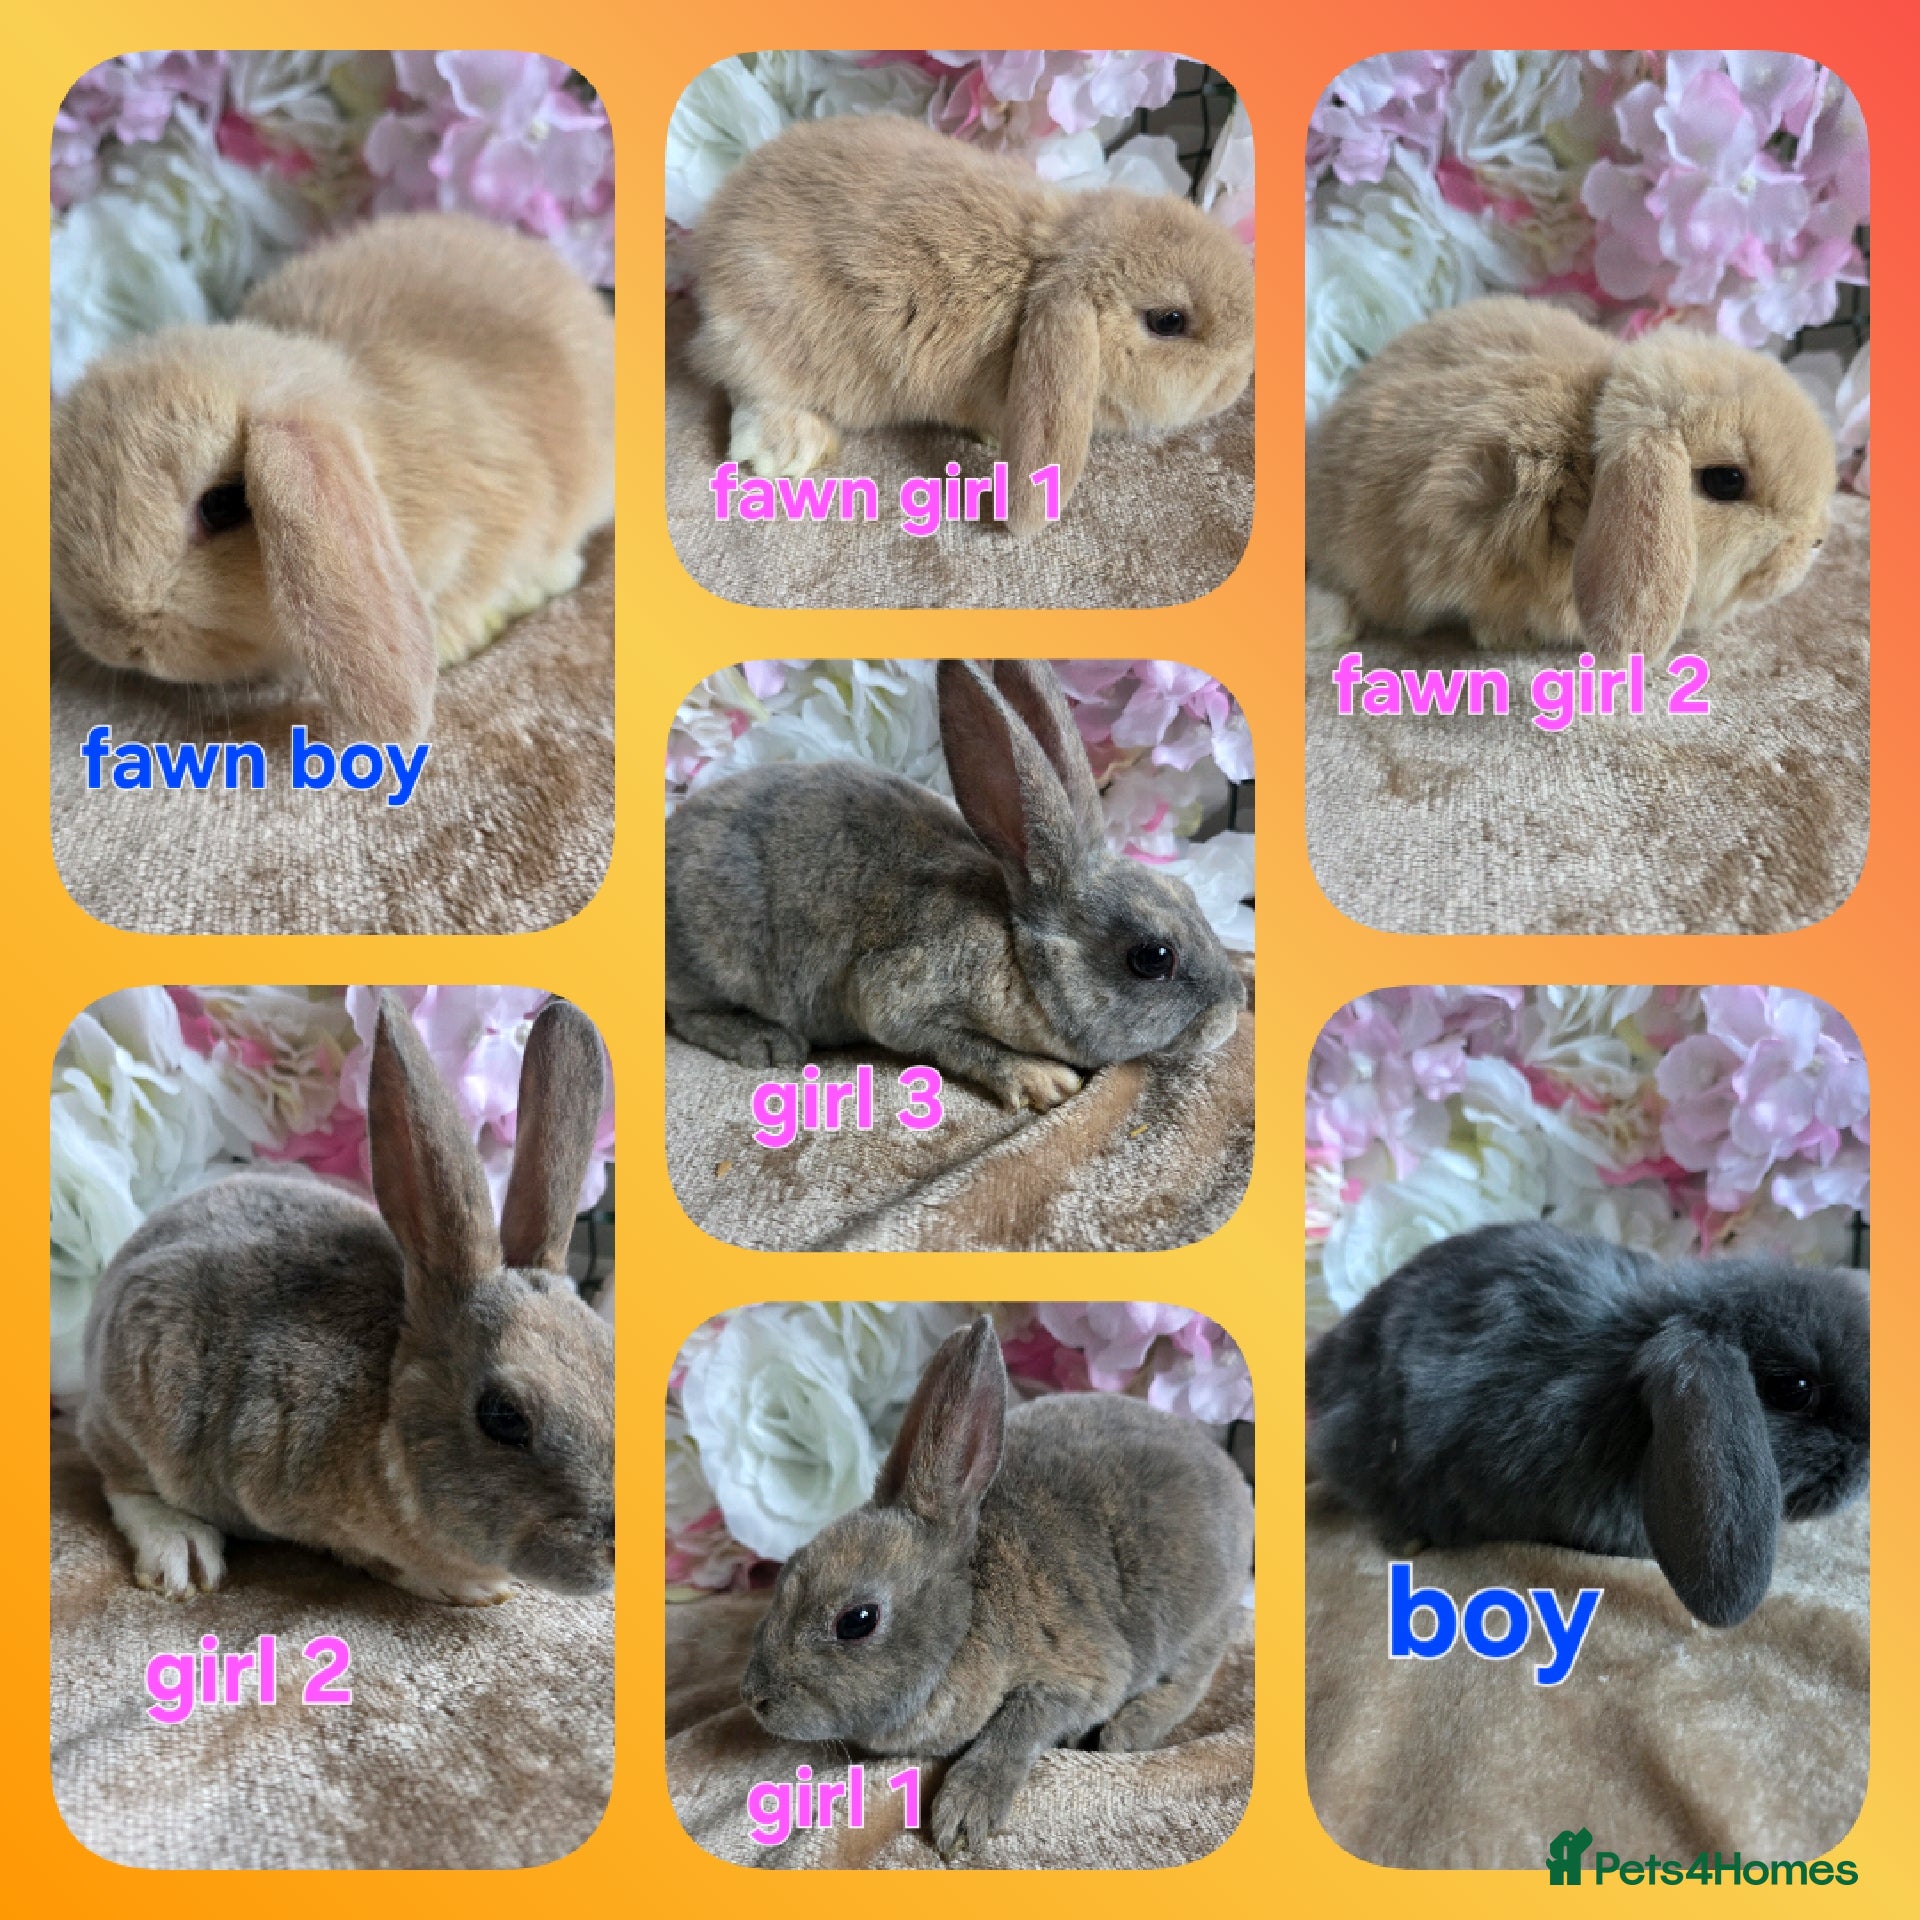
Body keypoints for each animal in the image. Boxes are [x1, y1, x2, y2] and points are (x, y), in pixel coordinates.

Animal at [79, 992, 614, 1606]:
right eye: (503, 1417)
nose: (618, 1546)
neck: (388, 1412)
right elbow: (381, 1558)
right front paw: (473, 1587)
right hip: (138, 1393)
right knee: (123, 1482)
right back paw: (182, 1557)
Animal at [665, 658, 1246, 1113]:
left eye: (1189, 896)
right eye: (1153, 958)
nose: (1234, 1007)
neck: (1019, 951)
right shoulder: (895, 997)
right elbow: (956, 1044)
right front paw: (1043, 1080)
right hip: (718, 959)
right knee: (686, 1013)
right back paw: (765, 1042)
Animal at [690, 113, 1254, 536]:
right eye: (1169, 321)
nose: (1239, 378)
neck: (1045, 267)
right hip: (774, 332)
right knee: (748, 387)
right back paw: (786, 448)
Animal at [741, 1316, 1254, 1857]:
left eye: (857, 1621)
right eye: (786, 1569)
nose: (754, 1698)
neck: (968, 1610)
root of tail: (1234, 1480)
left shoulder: (1074, 1677)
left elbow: (1015, 1729)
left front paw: (963, 1816)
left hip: (1198, 1616)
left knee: (1194, 1675)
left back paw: (1127, 1730)